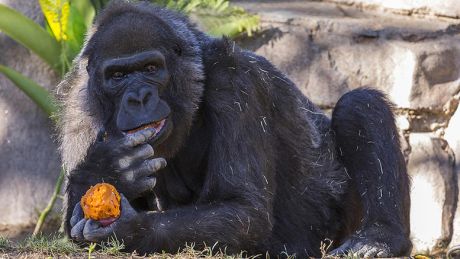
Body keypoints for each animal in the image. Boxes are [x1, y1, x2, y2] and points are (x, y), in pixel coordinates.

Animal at [58, 0, 414, 258]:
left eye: (150, 68)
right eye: (117, 76)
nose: (138, 98)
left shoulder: (236, 78)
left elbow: (244, 210)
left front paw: (133, 229)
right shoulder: (78, 107)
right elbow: (72, 224)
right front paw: (110, 168)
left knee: (359, 106)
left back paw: (380, 238)